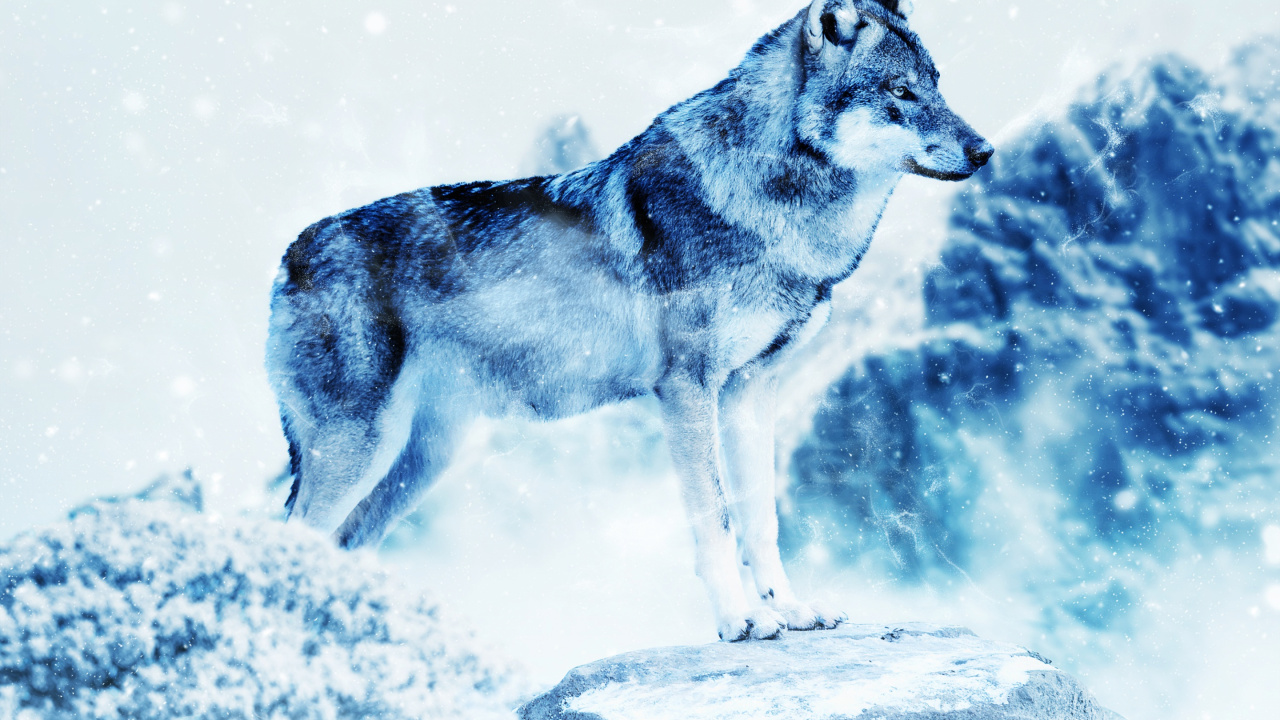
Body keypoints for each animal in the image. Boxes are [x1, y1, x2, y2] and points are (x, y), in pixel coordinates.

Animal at [266, 0, 991, 642]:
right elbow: (716, 518)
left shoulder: (752, 390)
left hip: (423, 459)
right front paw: (741, 623)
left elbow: (762, 519)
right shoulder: (688, 389)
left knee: (345, 542)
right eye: (901, 91)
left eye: (937, 84)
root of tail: (288, 255)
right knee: (288, 536)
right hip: (360, 449)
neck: (768, 205)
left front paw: (791, 611)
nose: (985, 150)